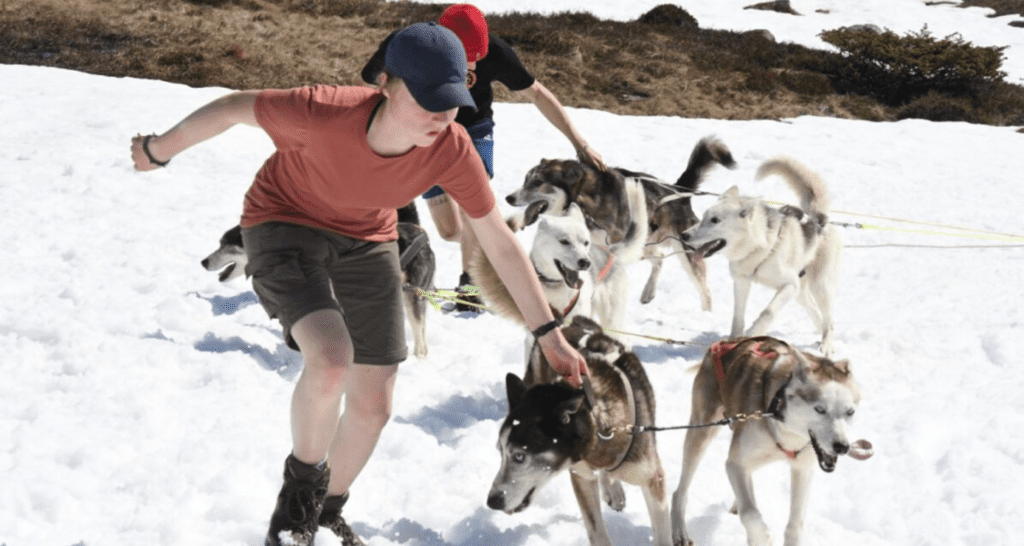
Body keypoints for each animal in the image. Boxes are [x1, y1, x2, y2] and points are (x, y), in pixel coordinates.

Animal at [505, 136, 737, 311]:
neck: (583, 199)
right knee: (660, 259)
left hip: (687, 251)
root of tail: (677, 190)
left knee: (704, 290)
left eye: (537, 182)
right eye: (525, 180)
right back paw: (648, 291)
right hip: (646, 243)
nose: (509, 198)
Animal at [671, 336, 864, 544]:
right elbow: (750, 514)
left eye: (850, 412)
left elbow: (795, 525)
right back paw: (679, 530)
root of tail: (725, 343)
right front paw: (762, 537)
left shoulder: (802, 469)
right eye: (820, 409)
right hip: (701, 433)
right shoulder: (735, 464)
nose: (842, 447)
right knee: (681, 490)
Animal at [679, 155, 839, 356]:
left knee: (829, 319)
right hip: (800, 292)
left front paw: (752, 333)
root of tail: (817, 219)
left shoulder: (789, 285)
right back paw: (819, 332)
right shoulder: (742, 282)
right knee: (815, 310)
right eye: (703, 217)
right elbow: (738, 316)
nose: (683, 235)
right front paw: (734, 341)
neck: (761, 250)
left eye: (715, 220)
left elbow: (768, 312)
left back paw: (827, 345)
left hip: (819, 286)